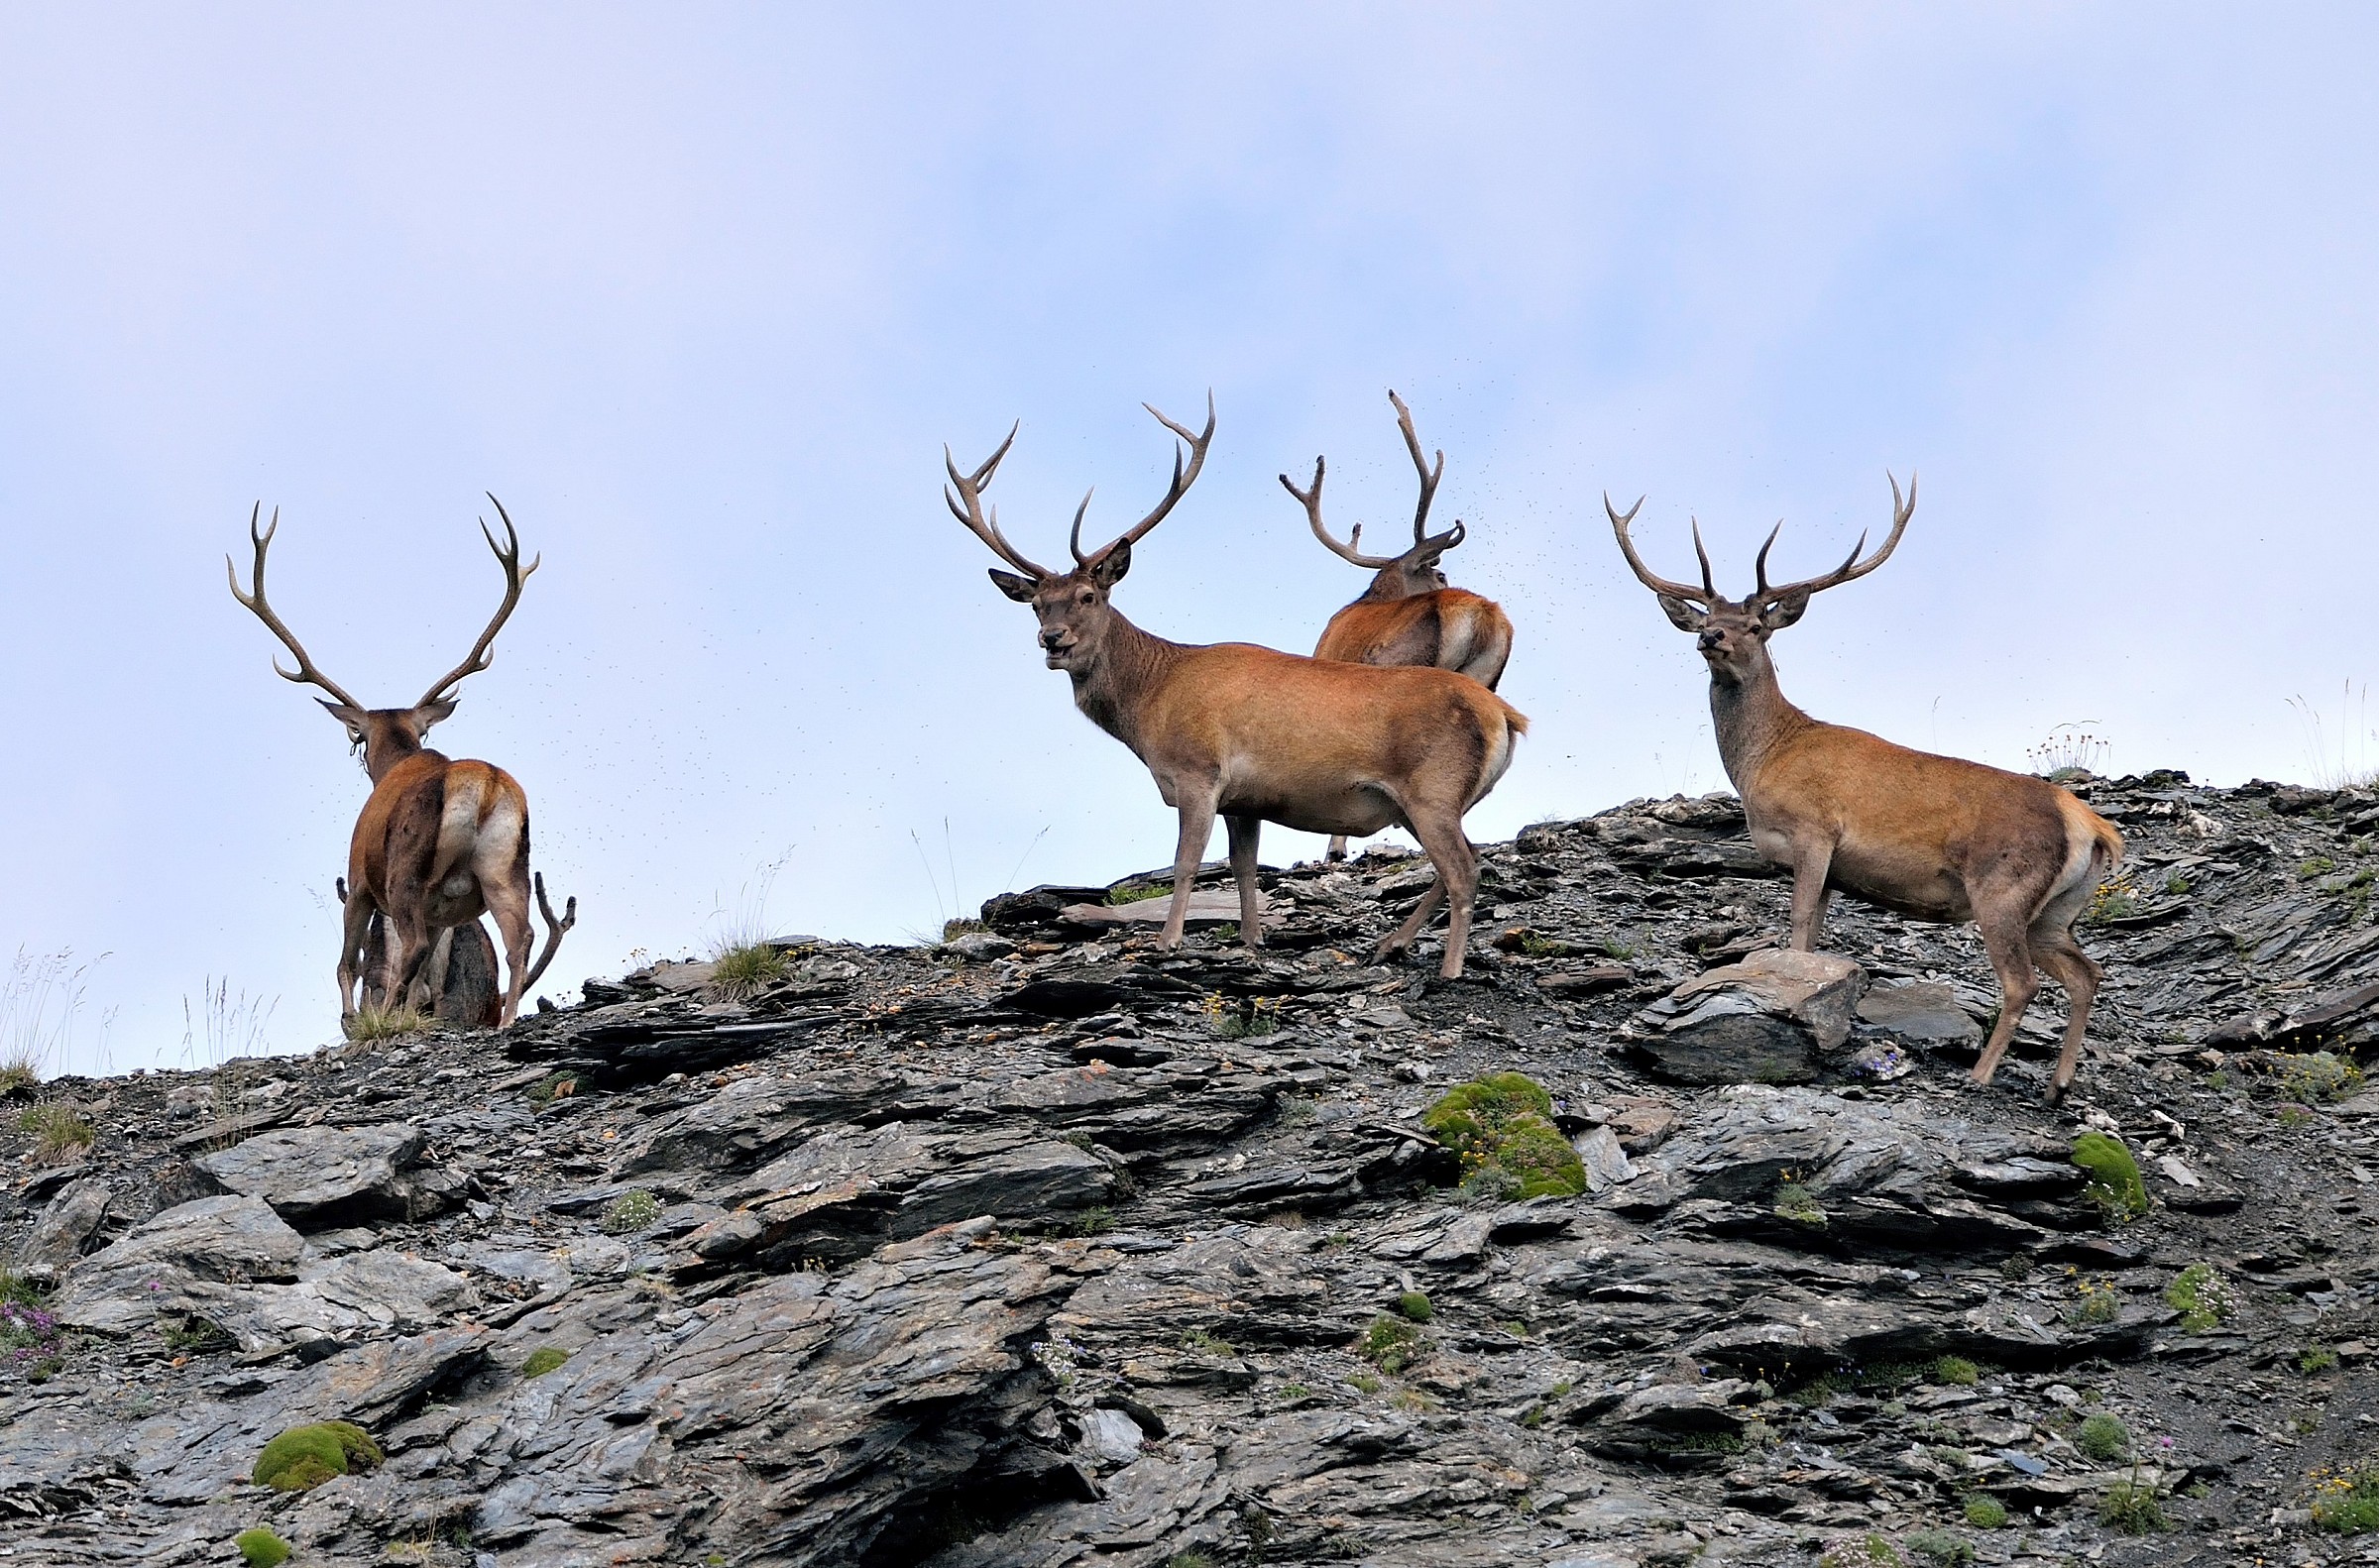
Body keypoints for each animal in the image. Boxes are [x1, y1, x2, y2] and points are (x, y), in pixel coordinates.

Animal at [230, 498, 575, 1029]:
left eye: (359, 737)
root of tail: (485, 786)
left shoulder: (358, 880)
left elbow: (346, 962)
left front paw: (354, 1020)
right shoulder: (442, 910)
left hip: (405, 875)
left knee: (408, 949)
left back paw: (385, 1013)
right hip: (505, 868)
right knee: (519, 939)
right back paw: (507, 1018)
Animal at [1607, 476, 2123, 1104]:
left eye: (1756, 626)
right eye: (1709, 613)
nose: (1711, 636)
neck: (1765, 759)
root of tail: (2091, 826)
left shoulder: (1814, 832)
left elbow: (1797, 931)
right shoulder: (1836, 871)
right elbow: (1814, 937)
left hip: (2002, 887)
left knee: (2023, 982)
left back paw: (1979, 1074)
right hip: (2055, 912)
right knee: (2086, 972)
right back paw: (2057, 1085)